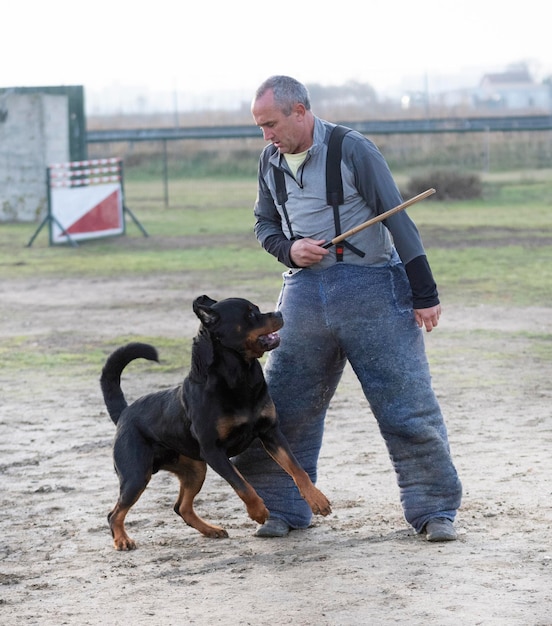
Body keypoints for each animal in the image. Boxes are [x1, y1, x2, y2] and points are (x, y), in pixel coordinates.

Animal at [101, 294, 330, 548]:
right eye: (250, 314)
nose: (279, 313)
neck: (239, 376)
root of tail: (124, 413)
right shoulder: (214, 452)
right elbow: (242, 485)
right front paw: (259, 512)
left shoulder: (270, 433)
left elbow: (297, 468)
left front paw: (317, 500)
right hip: (136, 475)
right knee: (114, 513)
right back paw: (122, 540)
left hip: (195, 470)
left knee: (181, 507)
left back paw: (211, 530)